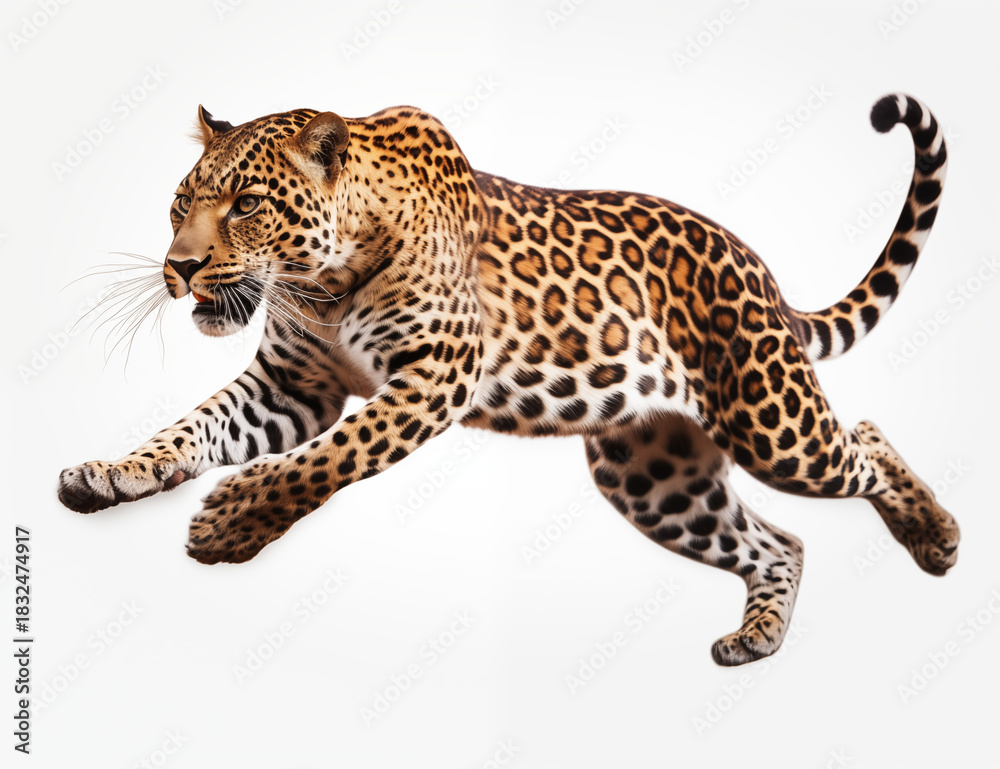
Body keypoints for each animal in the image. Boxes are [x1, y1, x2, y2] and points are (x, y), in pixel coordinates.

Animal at [57, 93, 959, 666]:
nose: (179, 268)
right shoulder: (291, 386)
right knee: (780, 541)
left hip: (774, 420)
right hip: (653, 475)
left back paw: (937, 535)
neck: (319, 280)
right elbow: (193, 427)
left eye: (246, 203)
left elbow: (329, 457)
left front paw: (232, 522)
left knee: (864, 440)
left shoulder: (436, 374)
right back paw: (759, 637)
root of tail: (762, 273)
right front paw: (110, 473)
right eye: (181, 203)